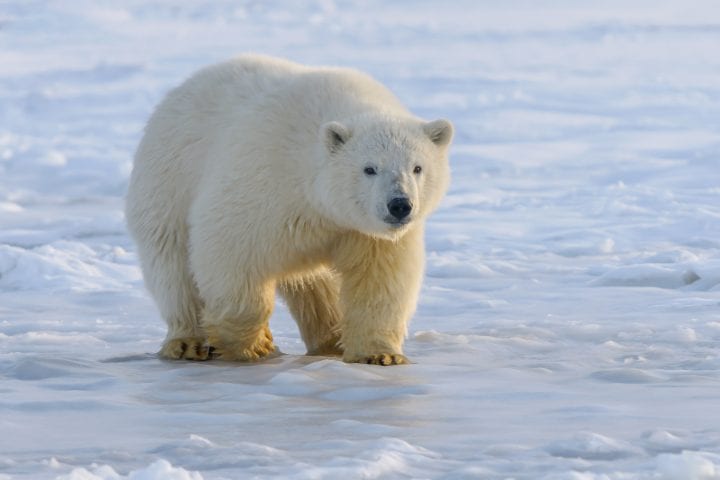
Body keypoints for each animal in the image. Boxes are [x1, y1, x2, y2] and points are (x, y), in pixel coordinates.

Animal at [125, 54, 453, 365]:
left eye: (417, 167)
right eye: (369, 168)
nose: (399, 205)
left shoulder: (363, 232)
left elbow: (379, 280)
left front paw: (380, 355)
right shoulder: (264, 180)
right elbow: (229, 249)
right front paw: (254, 344)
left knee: (315, 285)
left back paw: (330, 339)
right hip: (168, 182)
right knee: (173, 266)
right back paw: (187, 342)